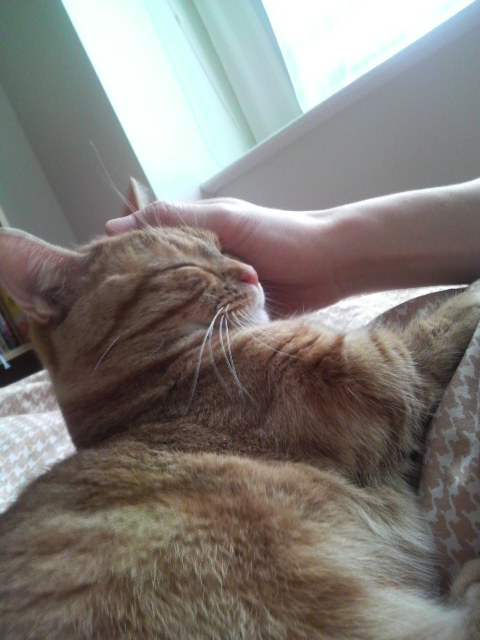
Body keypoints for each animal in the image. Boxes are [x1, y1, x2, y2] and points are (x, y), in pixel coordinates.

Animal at [0, 225, 479, 640]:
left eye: (221, 245)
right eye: (184, 268)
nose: (250, 271)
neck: (157, 392)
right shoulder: (381, 368)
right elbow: (442, 319)